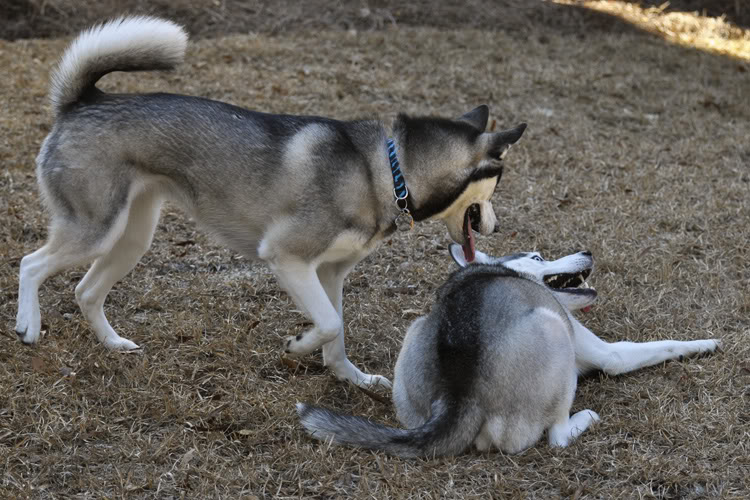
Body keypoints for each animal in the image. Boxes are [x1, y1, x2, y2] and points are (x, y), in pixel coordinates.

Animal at [13, 18, 528, 386]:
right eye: (500, 180)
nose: (498, 228)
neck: (388, 168)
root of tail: (83, 102)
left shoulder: (330, 273)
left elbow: (337, 332)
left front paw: (351, 378)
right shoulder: (288, 258)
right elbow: (326, 324)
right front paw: (299, 346)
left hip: (129, 239)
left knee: (85, 291)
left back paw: (114, 344)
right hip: (93, 230)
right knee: (30, 264)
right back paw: (28, 326)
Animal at [300, 244, 724, 456]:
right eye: (537, 257)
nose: (586, 250)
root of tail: (459, 396)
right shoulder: (609, 353)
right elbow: (664, 344)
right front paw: (706, 343)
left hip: (415, 331)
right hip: (553, 329)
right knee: (554, 438)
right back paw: (584, 418)